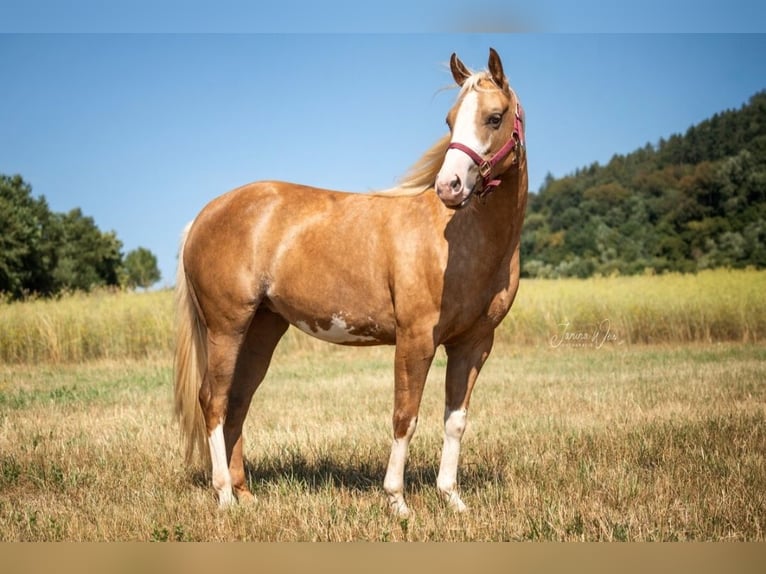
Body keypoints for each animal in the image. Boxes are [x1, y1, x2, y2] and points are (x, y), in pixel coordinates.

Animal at [174, 47, 528, 518]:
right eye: (450, 120)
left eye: (494, 117)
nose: (449, 186)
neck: (458, 236)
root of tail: (204, 215)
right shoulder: (415, 340)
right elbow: (405, 416)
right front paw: (398, 502)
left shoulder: (473, 345)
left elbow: (455, 421)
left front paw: (452, 499)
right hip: (225, 328)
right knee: (213, 401)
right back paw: (225, 497)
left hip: (261, 329)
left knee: (236, 402)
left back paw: (245, 493)